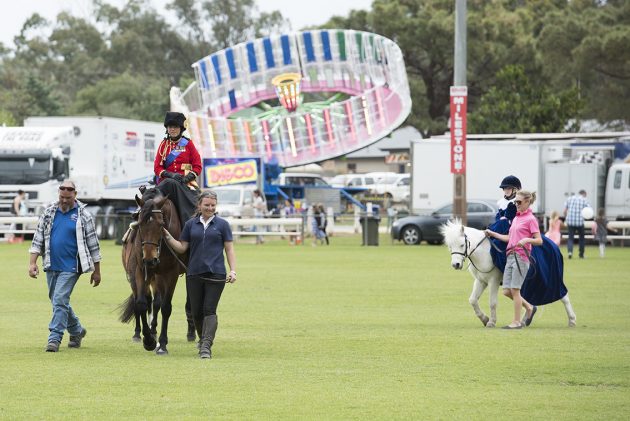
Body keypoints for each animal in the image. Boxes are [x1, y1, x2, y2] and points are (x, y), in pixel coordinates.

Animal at [119, 189, 186, 352]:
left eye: (161, 224)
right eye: (140, 223)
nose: (150, 259)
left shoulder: (171, 274)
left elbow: (165, 307)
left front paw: (162, 343)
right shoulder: (140, 271)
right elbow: (141, 303)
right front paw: (148, 340)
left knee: (158, 303)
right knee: (144, 300)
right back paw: (139, 333)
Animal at [440, 220, 576, 328]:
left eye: (462, 244)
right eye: (450, 246)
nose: (456, 264)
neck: (483, 252)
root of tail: (554, 246)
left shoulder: (493, 281)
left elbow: (492, 302)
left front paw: (491, 322)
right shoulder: (481, 281)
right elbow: (473, 300)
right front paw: (484, 319)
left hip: (550, 281)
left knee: (564, 296)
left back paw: (572, 320)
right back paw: (526, 318)